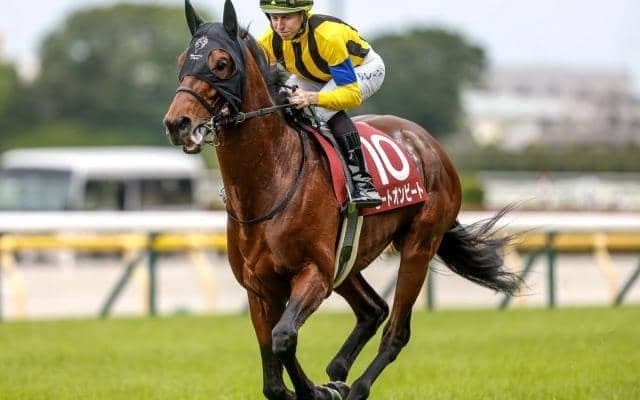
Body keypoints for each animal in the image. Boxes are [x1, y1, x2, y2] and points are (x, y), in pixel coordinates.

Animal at [163, 1, 520, 399]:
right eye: (183, 60)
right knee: (373, 309)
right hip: (347, 258)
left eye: (221, 63)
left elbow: (283, 338)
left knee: (396, 331)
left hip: (418, 245)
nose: (178, 123)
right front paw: (313, 387)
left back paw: (356, 385)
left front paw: (316, 391)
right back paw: (338, 372)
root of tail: (430, 145)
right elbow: (273, 376)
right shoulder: (259, 286)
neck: (272, 181)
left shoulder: (315, 273)